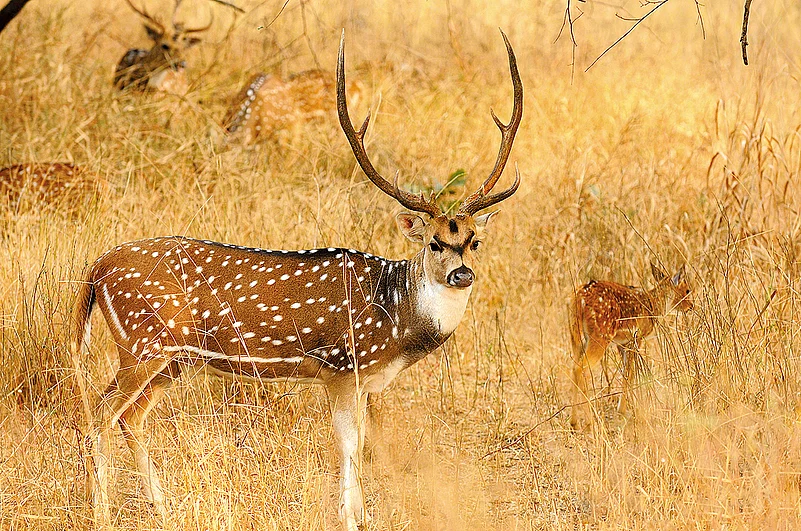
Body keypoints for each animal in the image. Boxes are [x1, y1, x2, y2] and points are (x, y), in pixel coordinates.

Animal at [569, 262, 693, 430]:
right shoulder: (636, 337)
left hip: (575, 336)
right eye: (687, 290)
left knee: (574, 366)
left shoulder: (622, 343)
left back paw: (574, 422)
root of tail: (580, 299)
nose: (691, 306)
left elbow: (626, 371)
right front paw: (624, 410)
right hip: (600, 335)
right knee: (581, 368)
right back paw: (590, 423)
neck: (654, 305)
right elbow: (630, 372)